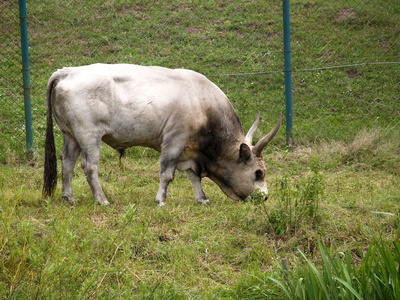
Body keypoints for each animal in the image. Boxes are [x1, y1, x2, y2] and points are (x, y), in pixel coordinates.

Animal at [43, 63, 282, 206]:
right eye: (258, 173)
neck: (203, 104)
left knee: (67, 163)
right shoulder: (174, 141)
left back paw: (68, 197)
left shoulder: (188, 151)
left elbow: (193, 176)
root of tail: (68, 71)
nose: (265, 197)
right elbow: (167, 174)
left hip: (71, 135)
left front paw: (202, 199)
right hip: (89, 136)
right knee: (89, 166)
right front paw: (161, 200)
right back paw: (102, 200)